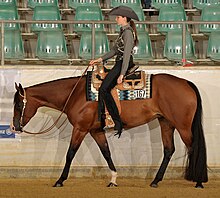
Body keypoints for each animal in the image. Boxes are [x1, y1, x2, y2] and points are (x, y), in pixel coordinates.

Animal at [11, 71, 208, 187]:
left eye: (19, 105)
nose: (15, 127)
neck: (75, 94)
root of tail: (186, 82)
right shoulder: (96, 131)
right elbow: (106, 153)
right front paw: (113, 179)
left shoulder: (80, 129)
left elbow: (70, 153)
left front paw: (60, 180)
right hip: (166, 122)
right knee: (169, 150)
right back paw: (155, 181)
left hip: (182, 126)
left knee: (193, 148)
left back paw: (198, 181)